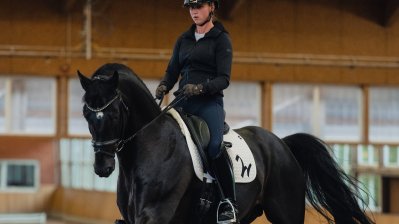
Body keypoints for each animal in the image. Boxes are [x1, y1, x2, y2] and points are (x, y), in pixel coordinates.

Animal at [78, 63, 376, 224]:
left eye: (114, 114)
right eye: (86, 114)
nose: (102, 167)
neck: (151, 146)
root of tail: (281, 145)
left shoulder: (155, 215)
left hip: (286, 212)